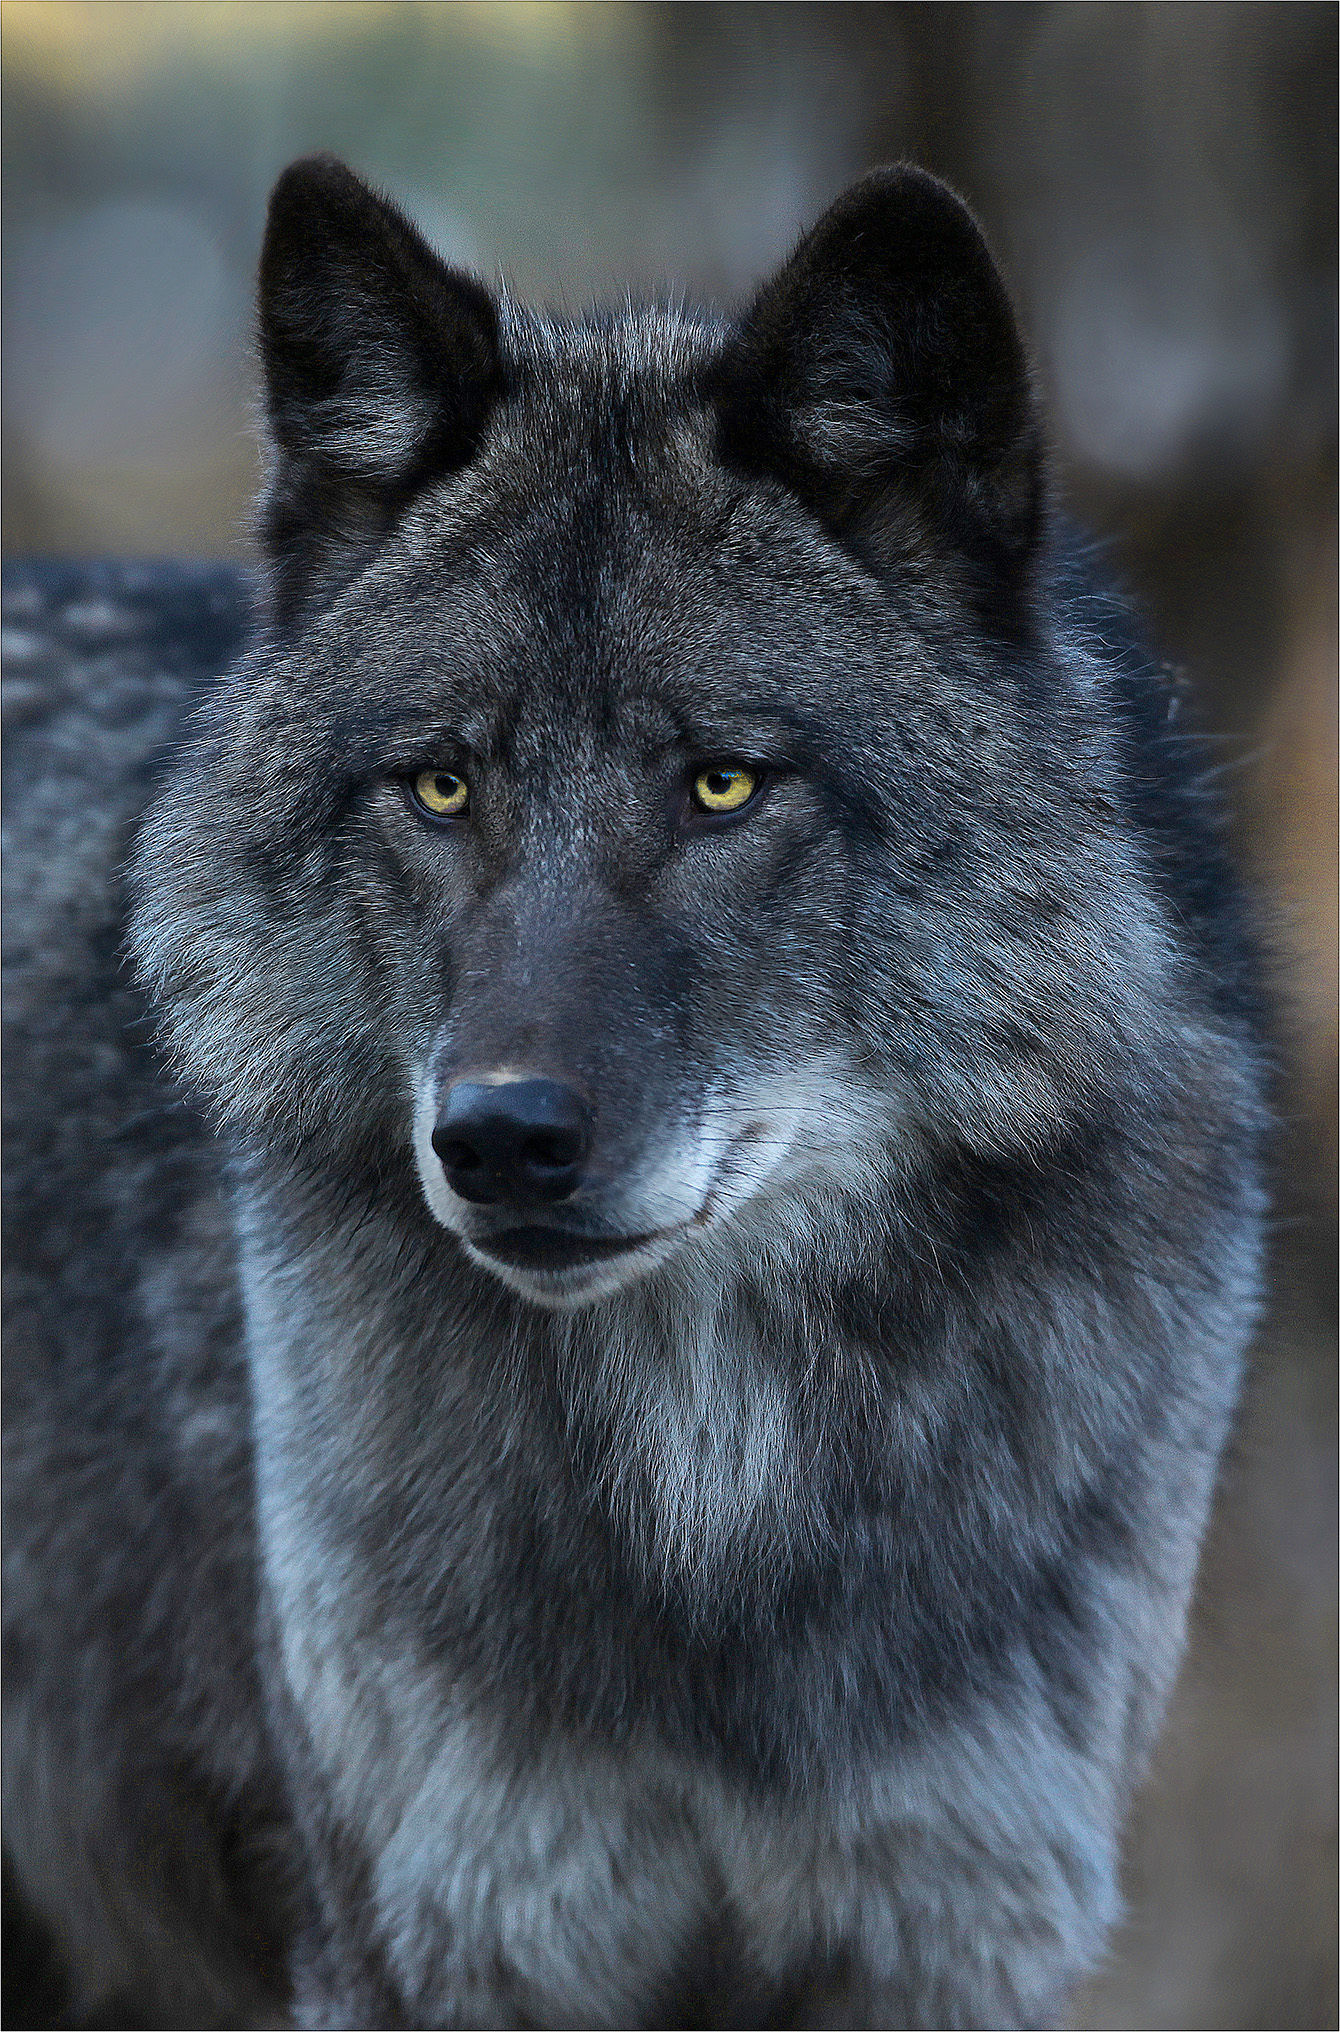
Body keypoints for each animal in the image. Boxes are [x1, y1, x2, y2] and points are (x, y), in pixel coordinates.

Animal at [3, 158, 1268, 2030]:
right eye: (442, 786)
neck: (715, 1491)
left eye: (723, 784)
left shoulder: (950, 1942)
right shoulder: (436, 1947)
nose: (500, 1140)